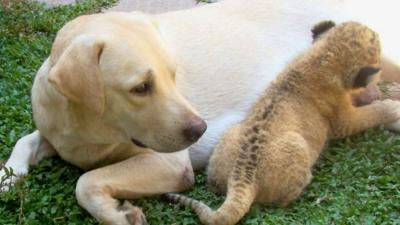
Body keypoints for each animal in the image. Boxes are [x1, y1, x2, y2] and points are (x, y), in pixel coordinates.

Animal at [2, 0, 400, 225]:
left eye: (173, 74)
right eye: (140, 87)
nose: (200, 130)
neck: (90, 127)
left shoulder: (168, 164)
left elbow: (85, 182)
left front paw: (118, 214)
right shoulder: (58, 131)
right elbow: (26, 139)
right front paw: (10, 175)